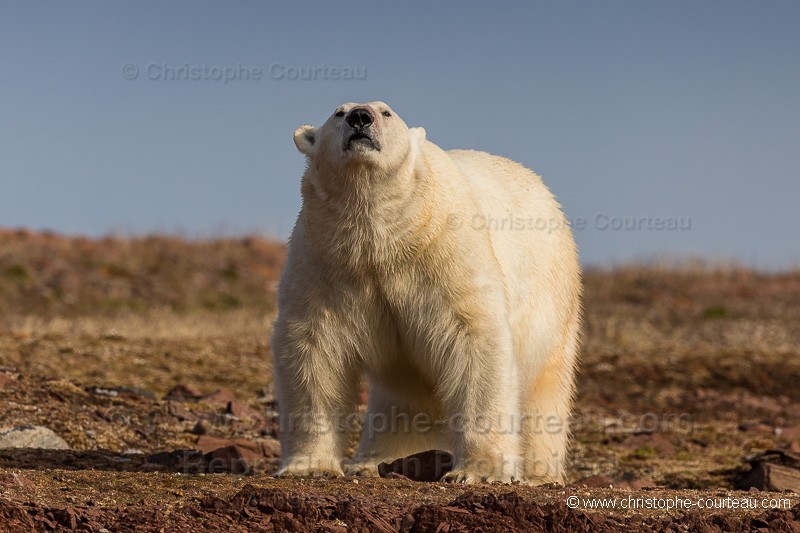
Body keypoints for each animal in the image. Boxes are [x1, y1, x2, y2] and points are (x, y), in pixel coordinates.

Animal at [272, 100, 580, 482]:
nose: (360, 117)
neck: (380, 237)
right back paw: (375, 461)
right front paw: (309, 466)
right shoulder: (324, 261)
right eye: (338, 112)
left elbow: (474, 337)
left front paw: (480, 471)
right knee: (405, 394)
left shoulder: (443, 252)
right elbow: (312, 348)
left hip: (554, 301)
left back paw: (540, 471)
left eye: (386, 112)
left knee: (545, 386)